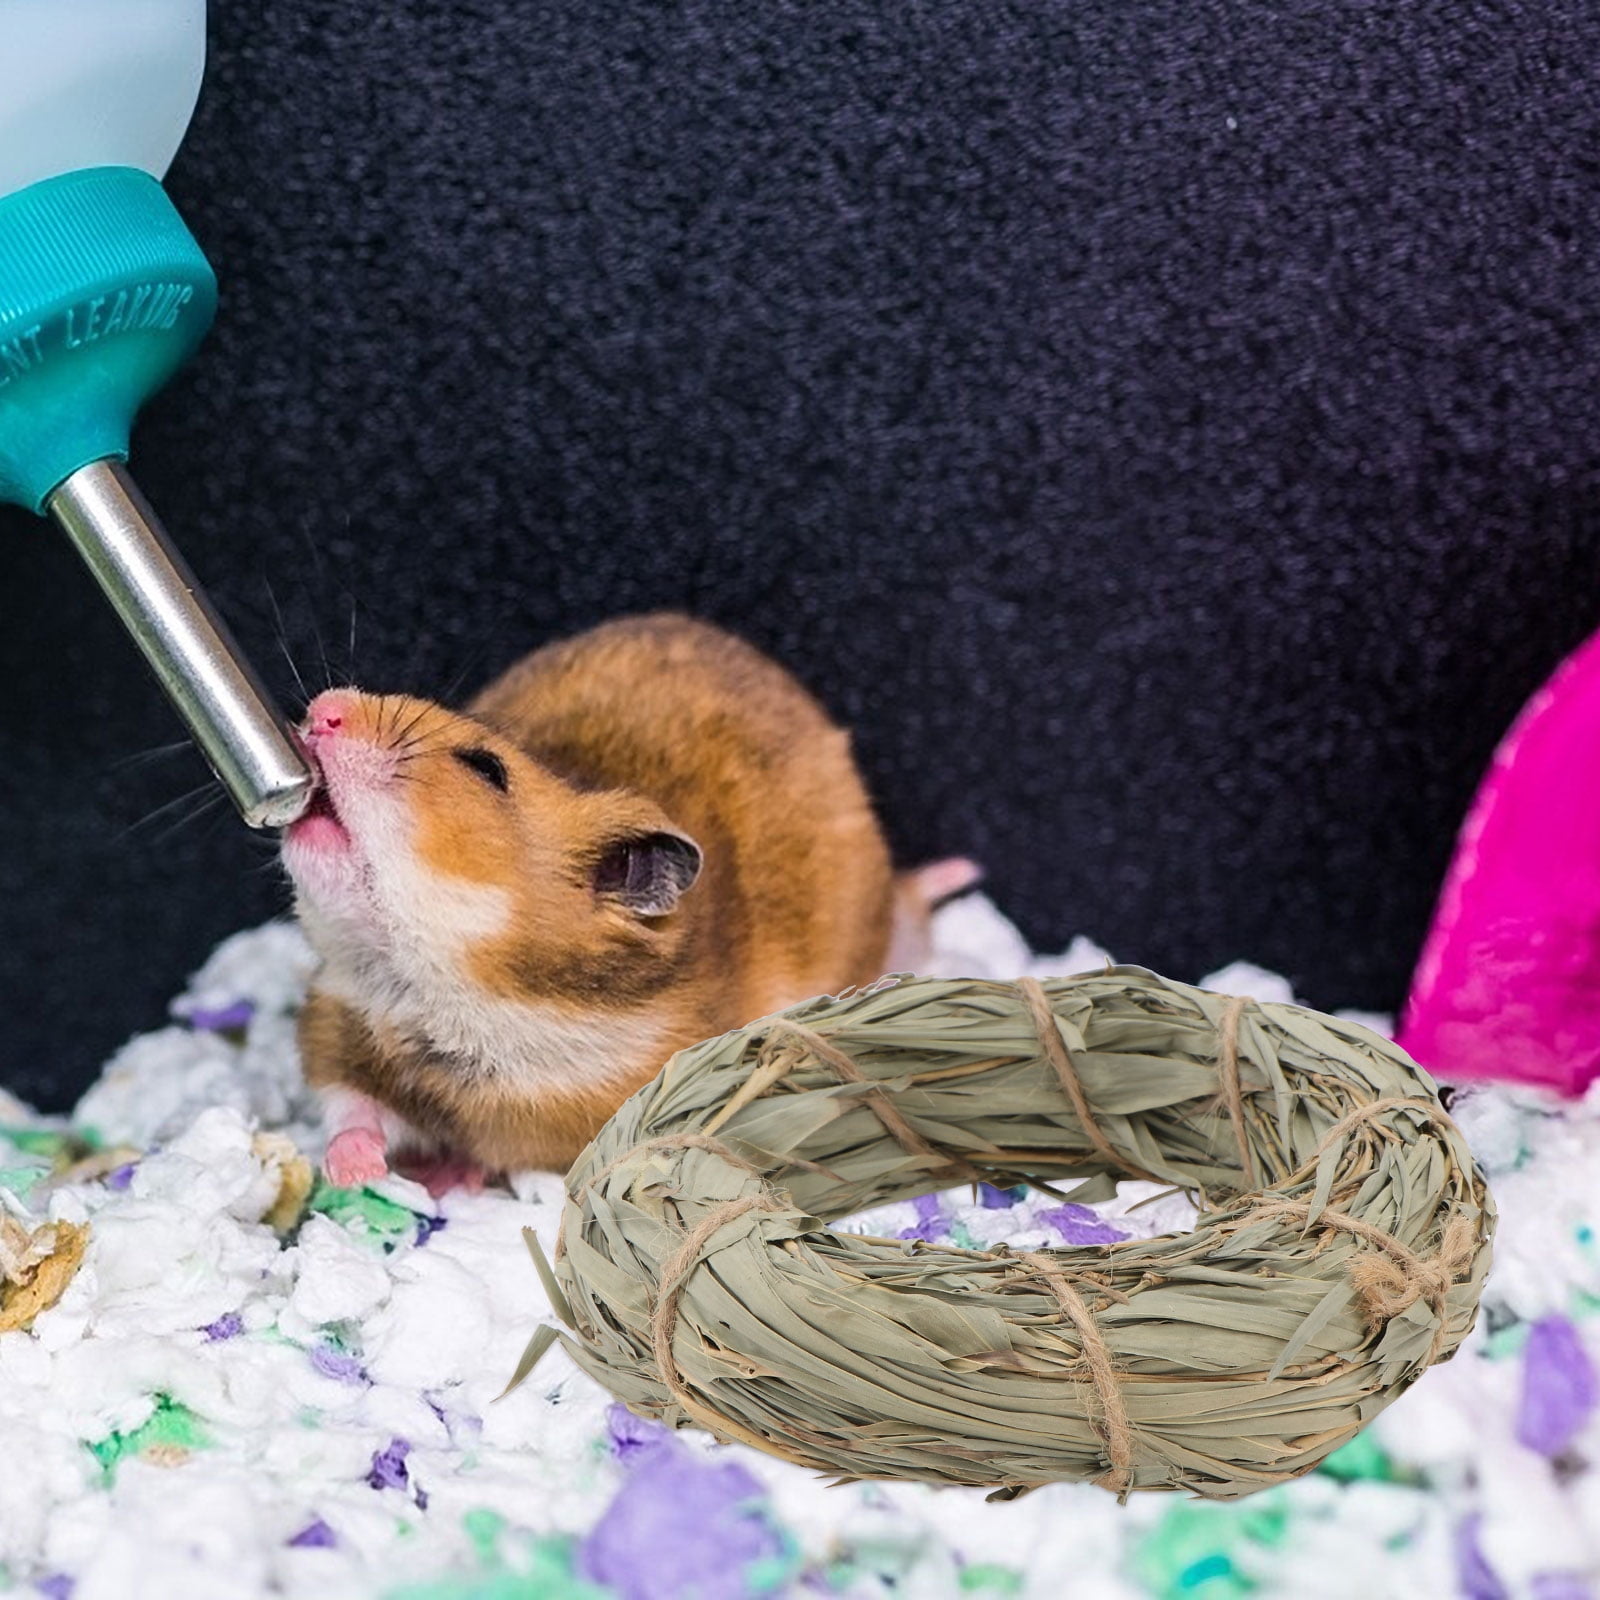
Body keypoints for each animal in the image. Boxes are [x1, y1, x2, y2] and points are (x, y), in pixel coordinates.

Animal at [280, 613, 979, 1191]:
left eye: (486, 767)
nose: (323, 711)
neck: (450, 991)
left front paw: (433, 1175)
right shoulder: (336, 1024)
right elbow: (352, 1108)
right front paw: (353, 1173)